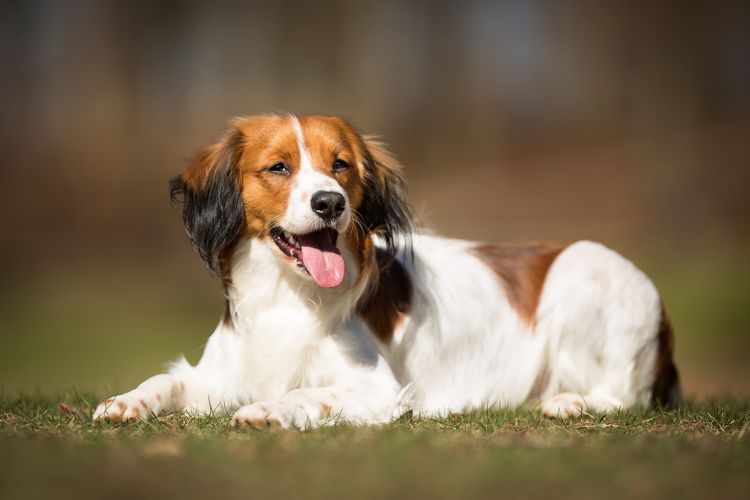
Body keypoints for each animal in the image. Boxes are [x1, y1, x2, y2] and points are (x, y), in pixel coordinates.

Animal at [92, 115, 680, 428]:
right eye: (279, 167)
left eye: (340, 165)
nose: (329, 202)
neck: (287, 294)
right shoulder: (218, 375)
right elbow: (167, 380)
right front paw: (125, 401)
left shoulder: (378, 390)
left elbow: (308, 392)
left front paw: (269, 409)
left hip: (584, 267)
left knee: (625, 395)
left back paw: (568, 402)